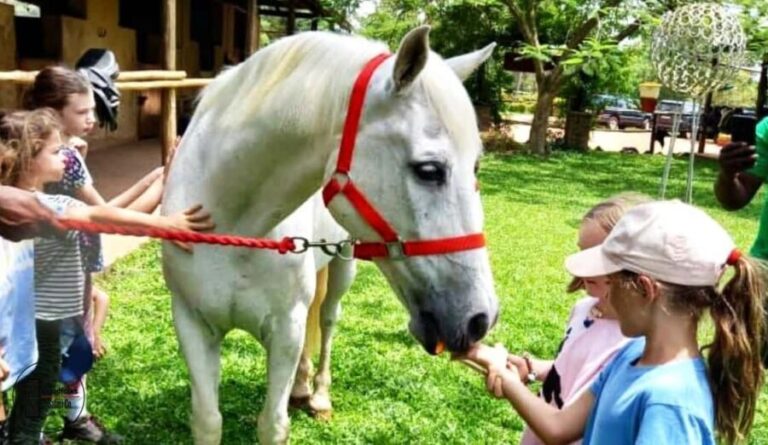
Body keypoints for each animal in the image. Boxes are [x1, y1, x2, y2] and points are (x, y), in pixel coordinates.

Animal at [162, 26, 498, 444]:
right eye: (429, 170)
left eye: (476, 167)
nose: (481, 319)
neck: (231, 226)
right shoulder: (192, 325)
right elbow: (208, 419)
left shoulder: (285, 331)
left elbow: (272, 424)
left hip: (342, 266)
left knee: (326, 319)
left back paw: (318, 395)